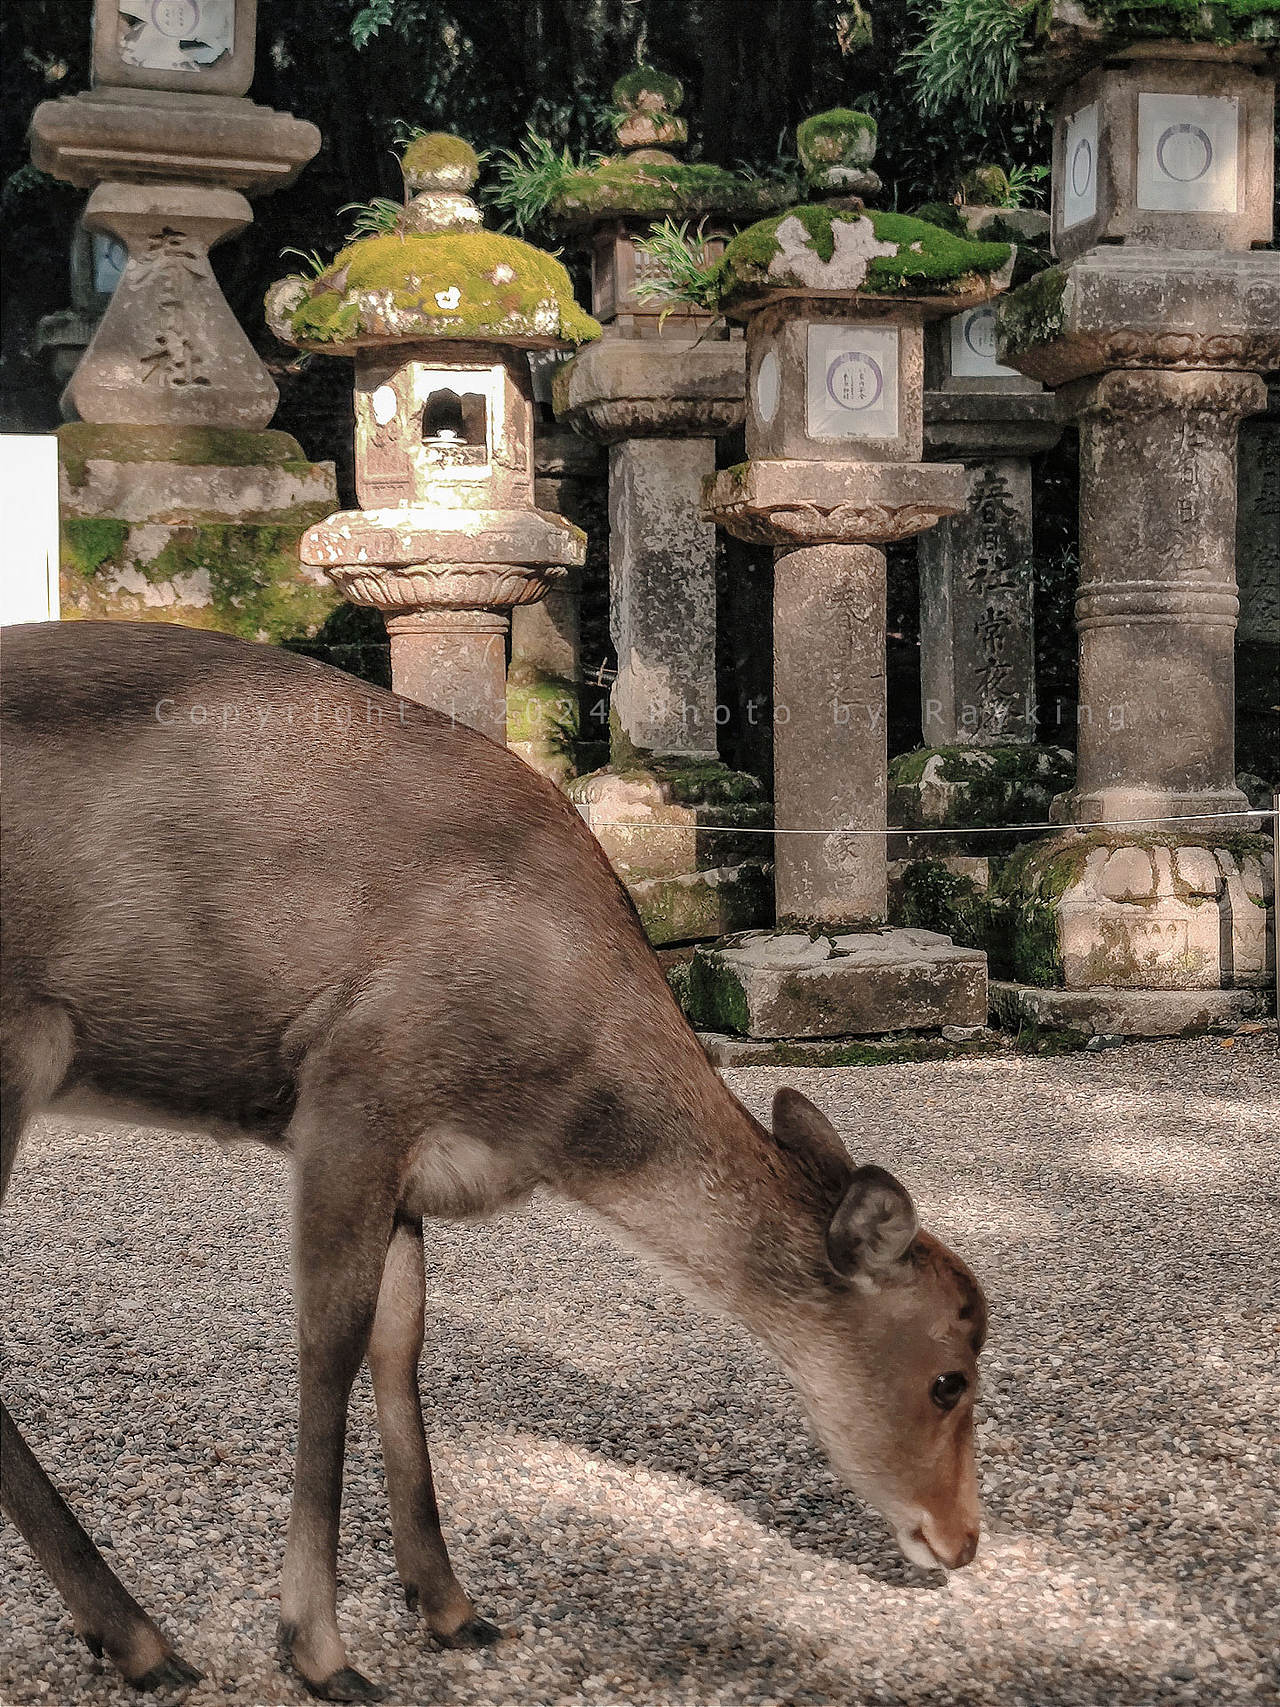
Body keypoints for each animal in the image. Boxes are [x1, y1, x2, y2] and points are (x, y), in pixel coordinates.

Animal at [1, 620, 987, 1702]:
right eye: (950, 1377)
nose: (963, 1540)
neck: (552, 1116)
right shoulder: (352, 1092)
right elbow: (327, 1345)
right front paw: (320, 1650)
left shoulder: (410, 1165)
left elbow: (400, 1344)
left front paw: (452, 1608)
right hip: (17, 1043)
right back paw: (140, 1637)